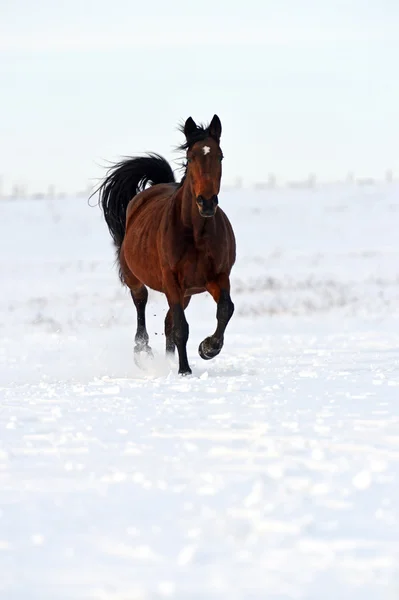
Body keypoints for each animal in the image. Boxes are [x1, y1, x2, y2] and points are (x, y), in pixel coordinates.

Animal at [95, 114, 236, 372]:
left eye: (220, 156)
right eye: (190, 157)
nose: (207, 202)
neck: (196, 235)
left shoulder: (218, 277)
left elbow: (225, 309)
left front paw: (208, 348)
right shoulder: (171, 280)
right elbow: (181, 327)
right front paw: (184, 370)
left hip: (186, 292)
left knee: (168, 322)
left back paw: (169, 360)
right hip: (135, 278)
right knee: (141, 304)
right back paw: (143, 351)